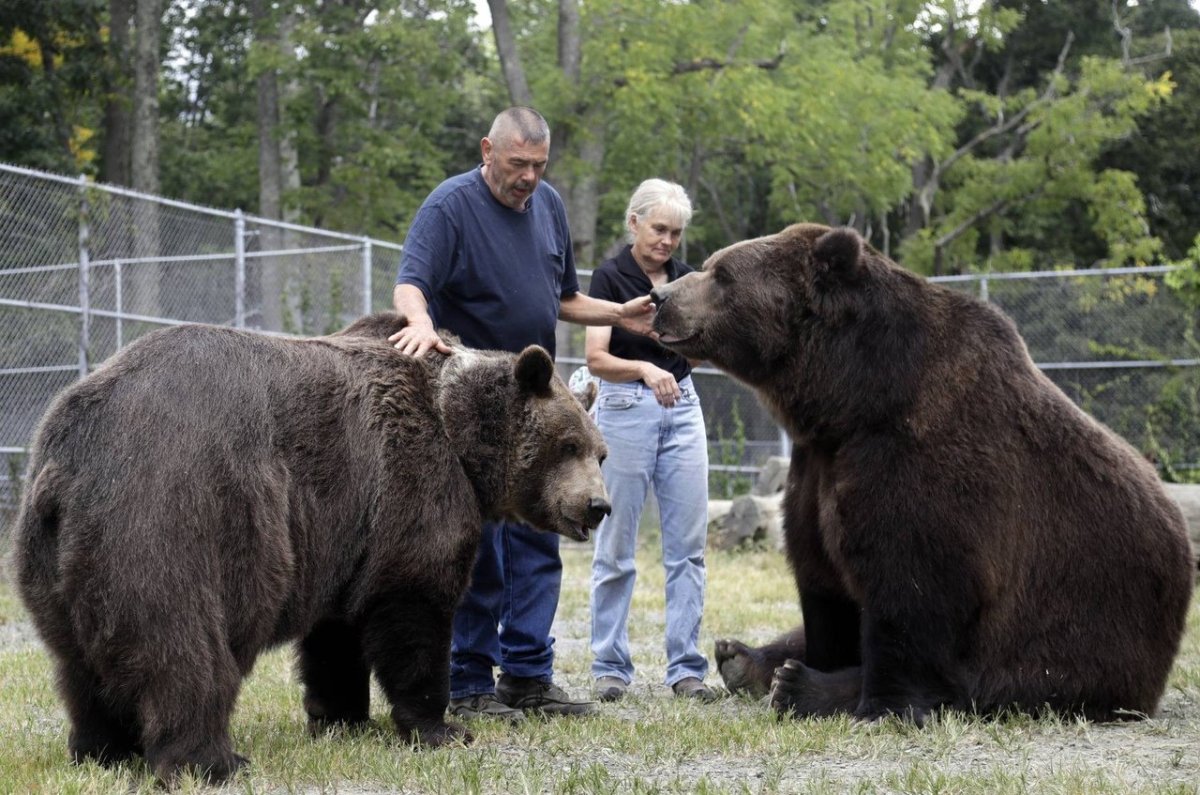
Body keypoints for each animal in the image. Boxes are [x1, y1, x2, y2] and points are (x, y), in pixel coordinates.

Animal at [9, 311, 610, 784]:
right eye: (568, 445)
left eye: (599, 452)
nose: (597, 506)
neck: (460, 432)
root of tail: (73, 456)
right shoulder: (413, 483)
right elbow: (414, 606)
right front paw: (440, 727)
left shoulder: (348, 526)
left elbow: (337, 630)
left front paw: (339, 715)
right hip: (175, 514)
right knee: (184, 649)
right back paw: (212, 761)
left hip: (55, 555)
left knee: (79, 660)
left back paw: (102, 750)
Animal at [650, 223, 1194, 724]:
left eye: (722, 274)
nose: (660, 297)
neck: (851, 401)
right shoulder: (817, 467)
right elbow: (822, 581)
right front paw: (803, 664)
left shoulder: (921, 464)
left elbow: (911, 592)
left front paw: (864, 699)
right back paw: (743, 657)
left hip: (1084, 632)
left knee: (996, 681)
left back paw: (796, 683)